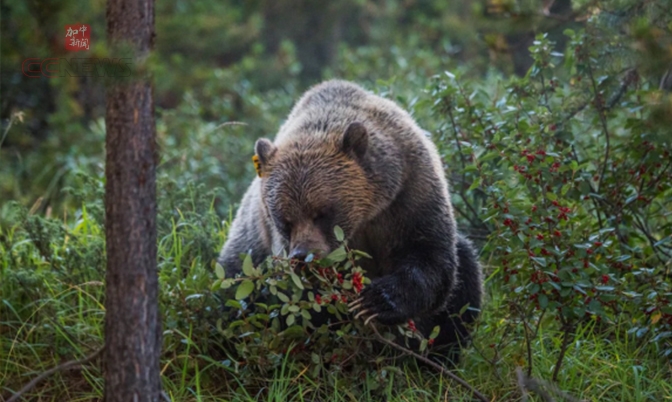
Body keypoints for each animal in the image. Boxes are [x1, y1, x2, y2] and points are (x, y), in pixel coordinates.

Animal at [219, 79, 484, 362]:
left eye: (322, 213)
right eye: (284, 220)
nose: (303, 256)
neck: (366, 214)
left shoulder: (409, 193)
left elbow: (430, 256)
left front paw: (375, 301)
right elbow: (307, 303)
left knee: (466, 274)